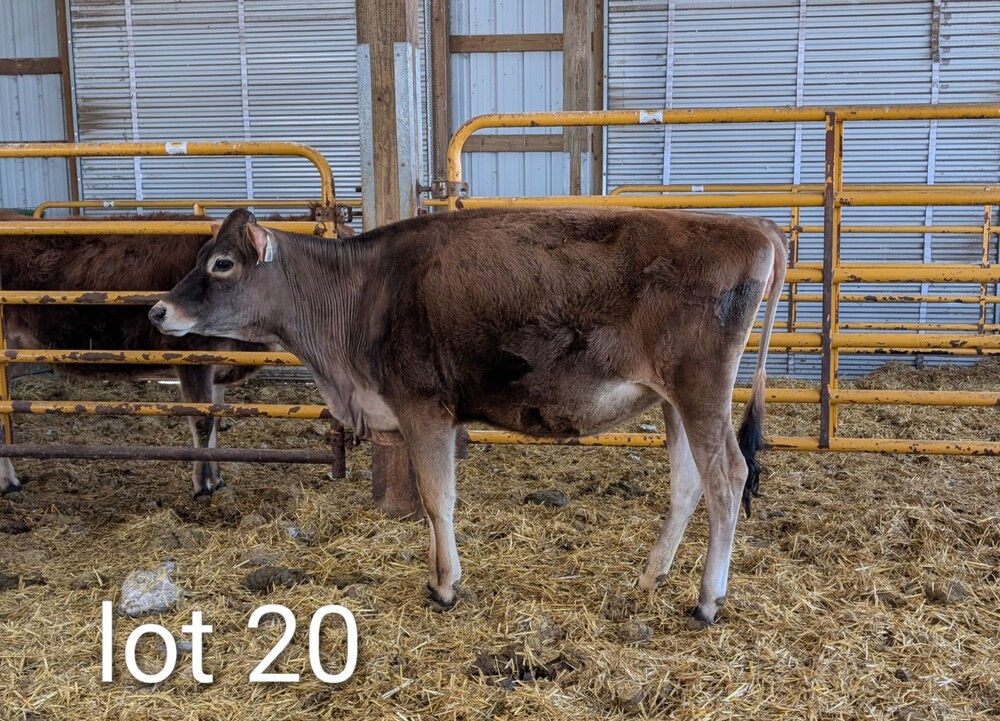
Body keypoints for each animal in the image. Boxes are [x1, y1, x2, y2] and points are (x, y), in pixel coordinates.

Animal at [0, 211, 279, 499]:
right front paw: (203, 486)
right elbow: (202, 423)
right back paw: (9, 483)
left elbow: (213, 423)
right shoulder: (192, 357)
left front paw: (218, 480)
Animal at [150, 206, 788, 627]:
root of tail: (750, 225)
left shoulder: (421, 406)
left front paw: (444, 586)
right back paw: (650, 576)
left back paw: (707, 601)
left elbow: (437, 499)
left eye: (223, 264)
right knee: (687, 484)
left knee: (728, 478)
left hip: (701, 389)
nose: (159, 309)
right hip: (674, 400)